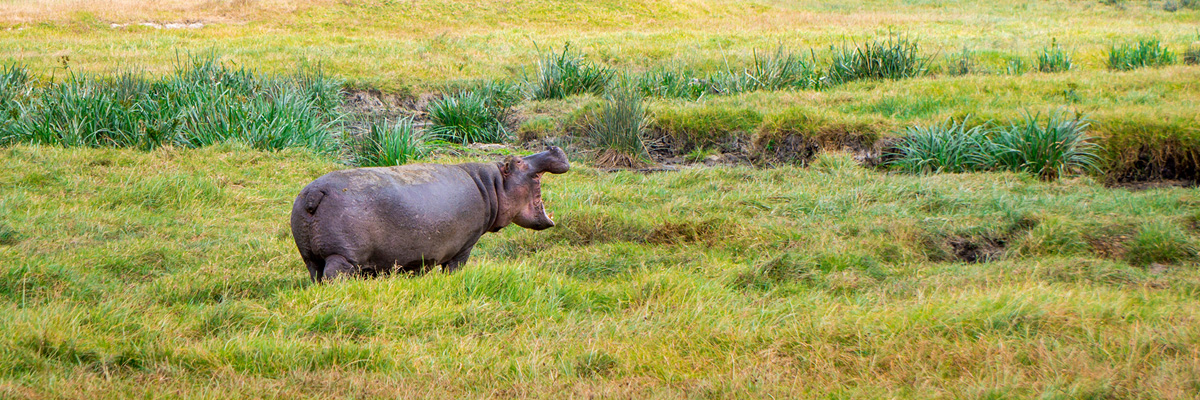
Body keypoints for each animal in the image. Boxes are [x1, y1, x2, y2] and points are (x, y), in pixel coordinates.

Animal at [291, 146, 571, 279]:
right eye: (518, 161)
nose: (553, 147)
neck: (492, 185)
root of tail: (315, 193)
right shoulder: (464, 246)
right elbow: (454, 268)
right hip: (342, 257)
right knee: (334, 276)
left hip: (310, 256)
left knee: (315, 273)